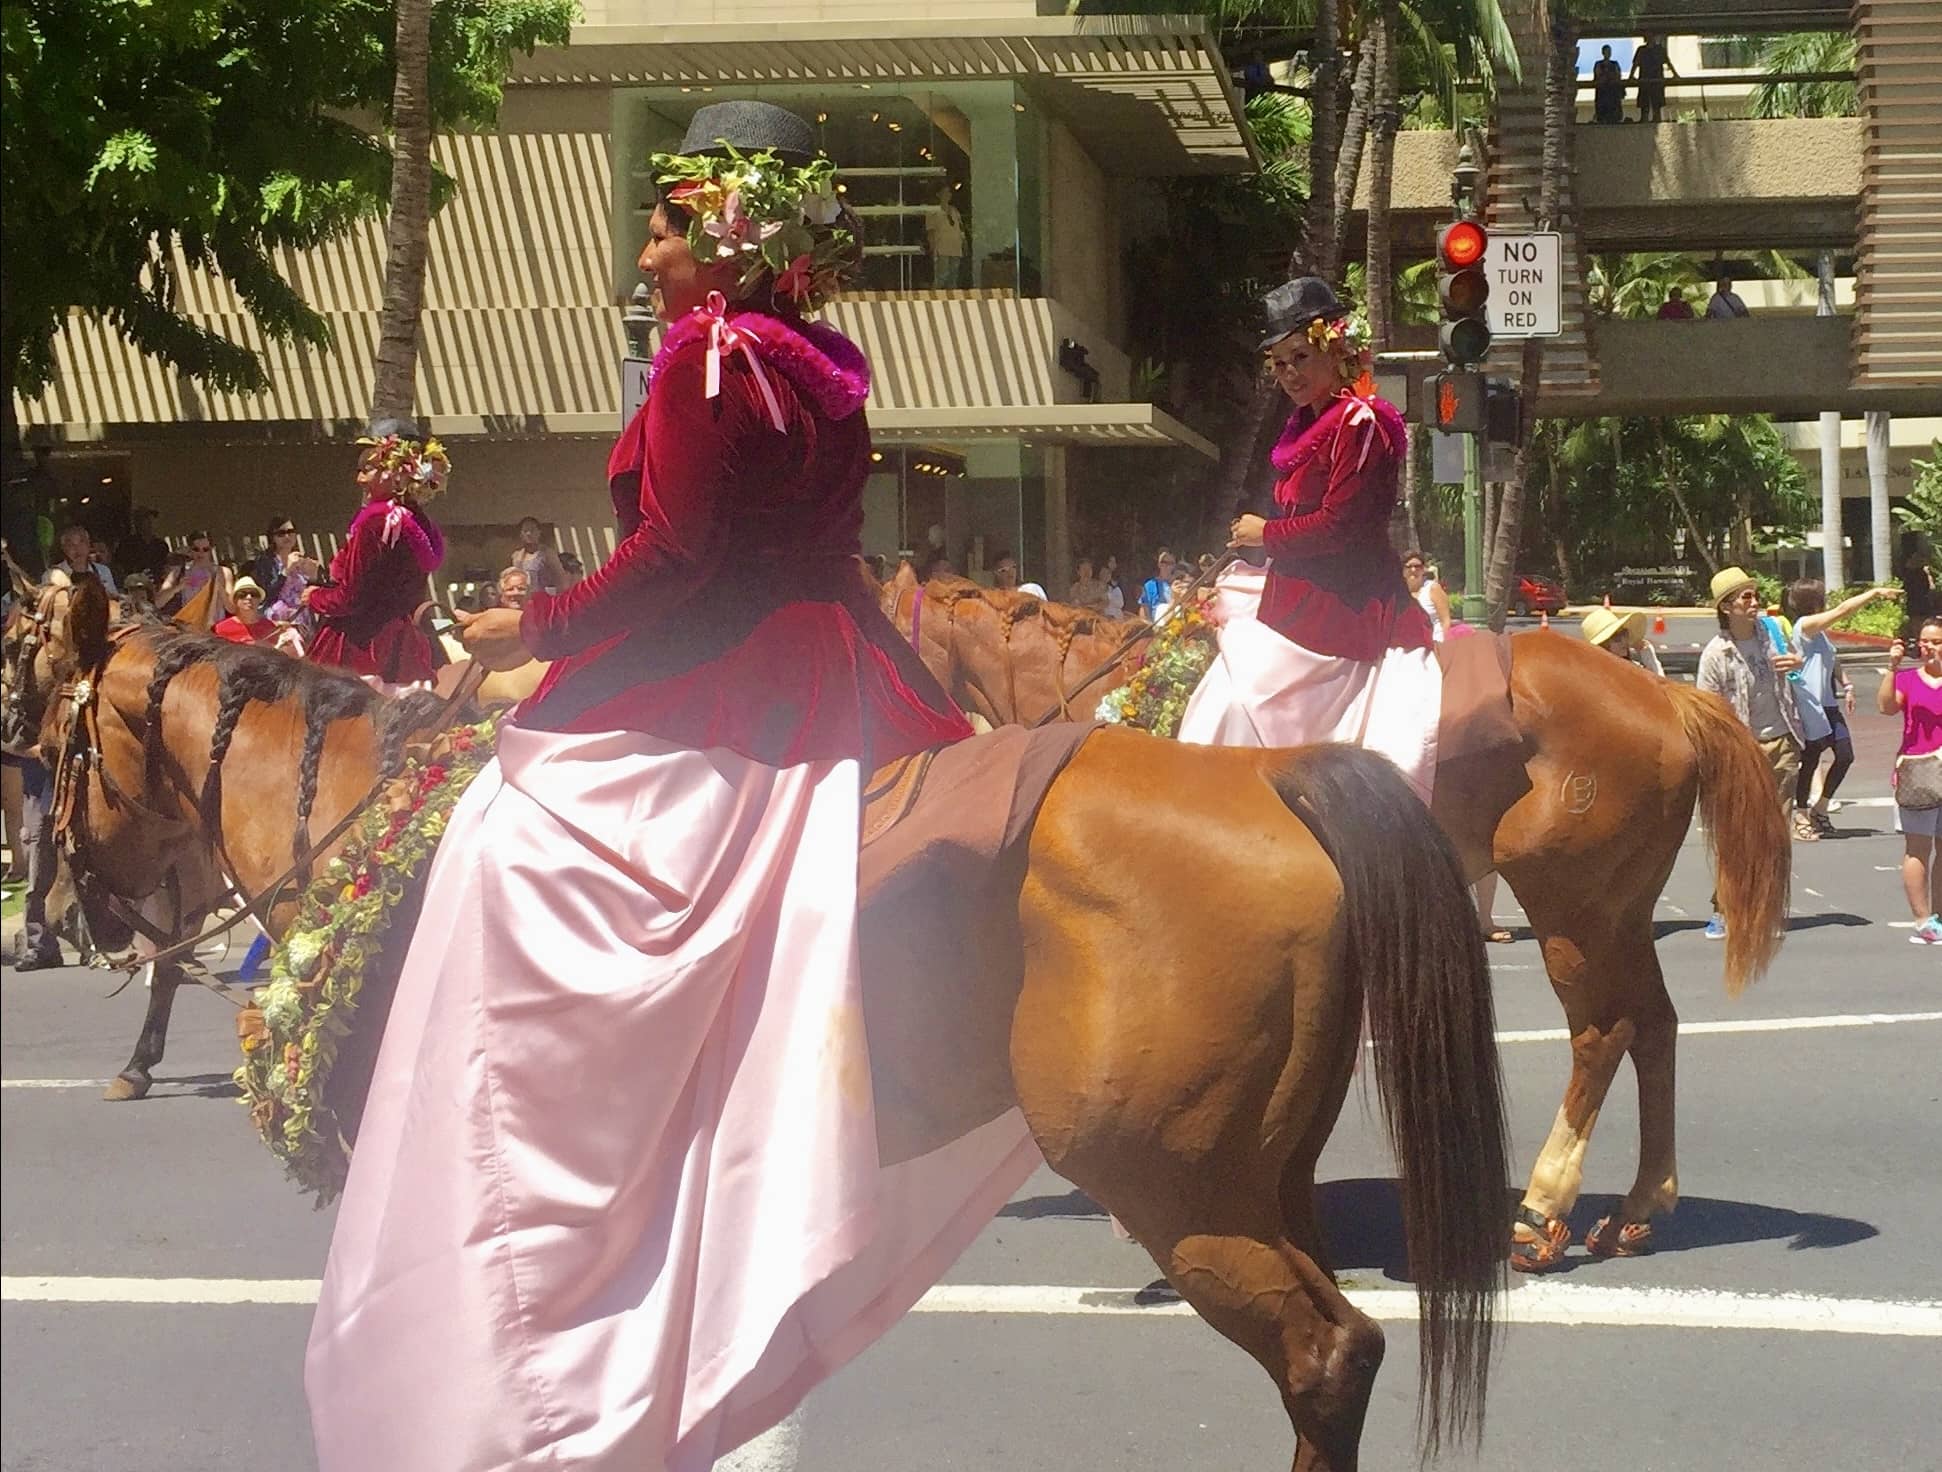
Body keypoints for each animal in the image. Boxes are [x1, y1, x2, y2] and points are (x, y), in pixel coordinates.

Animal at [41, 574, 1499, 1468]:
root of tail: (1274, 775)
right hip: (1256, 1176)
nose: (73, 909)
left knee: (1325, 1354)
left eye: (50, 734)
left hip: (1176, 1185)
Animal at [885, 570, 1786, 1273]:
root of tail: (1662, 692)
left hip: (1569, 904)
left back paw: (1540, 1214)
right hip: (1617, 910)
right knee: (1656, 1025)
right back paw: (1638, 1209)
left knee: (1602, 1034)